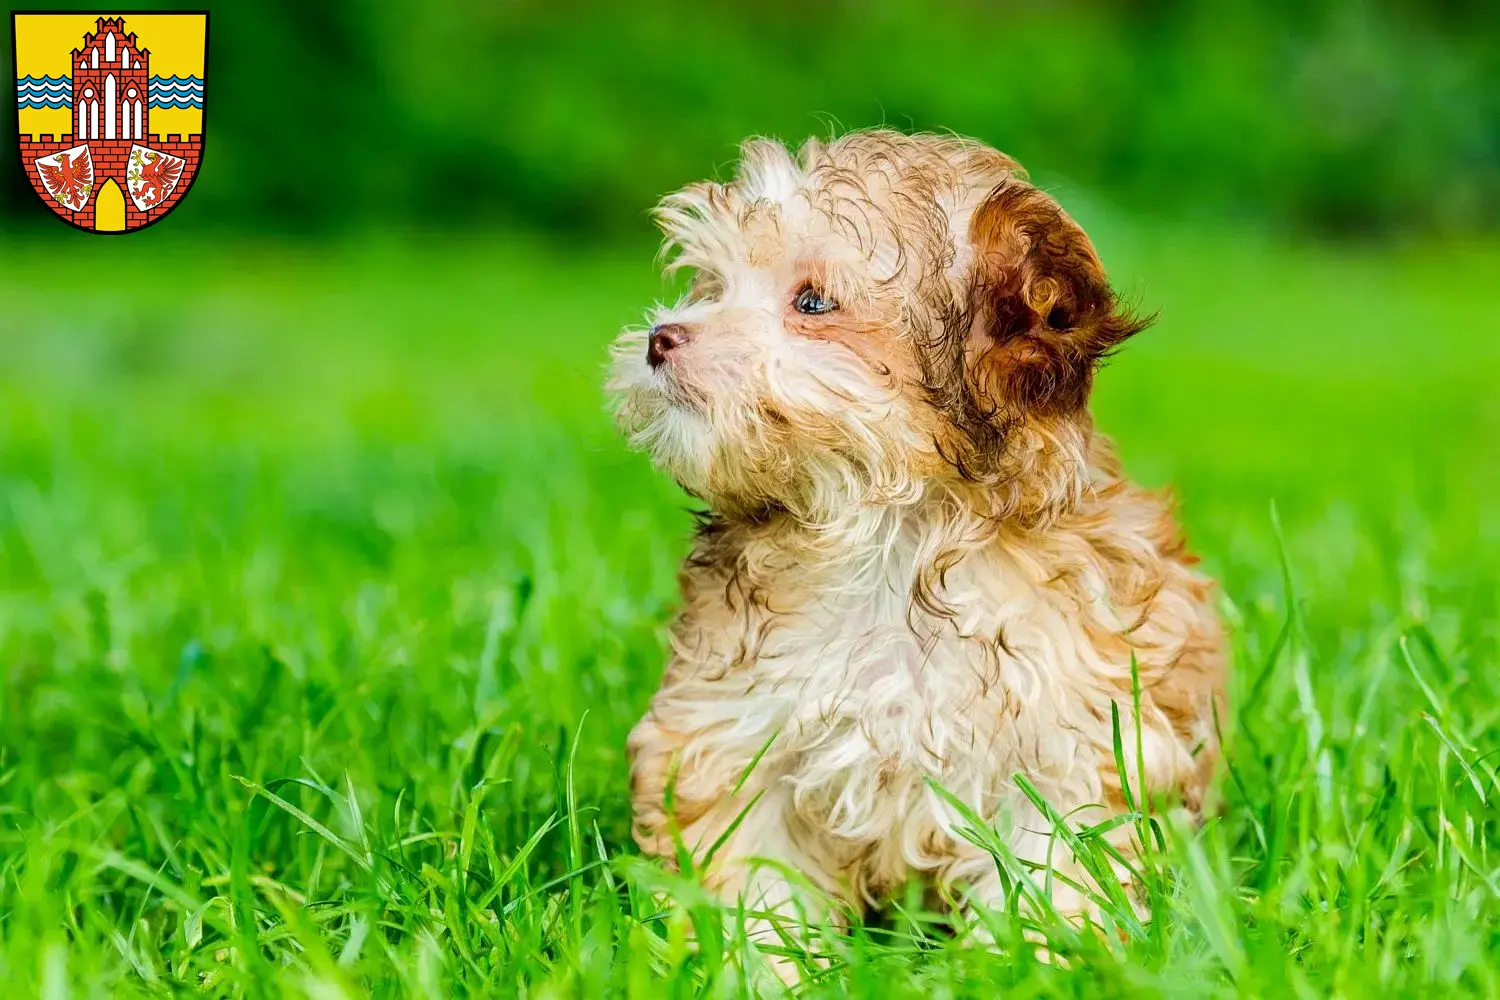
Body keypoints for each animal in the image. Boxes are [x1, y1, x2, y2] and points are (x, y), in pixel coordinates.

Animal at [603, 128, 1224, 959]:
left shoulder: (1071, 736)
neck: (888, 535)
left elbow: (1054, 865)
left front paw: (1034, 959)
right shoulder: (732, 725)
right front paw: (766, 963)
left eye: (812, 302)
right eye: (713, 285)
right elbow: (755, 865)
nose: (663, 337)